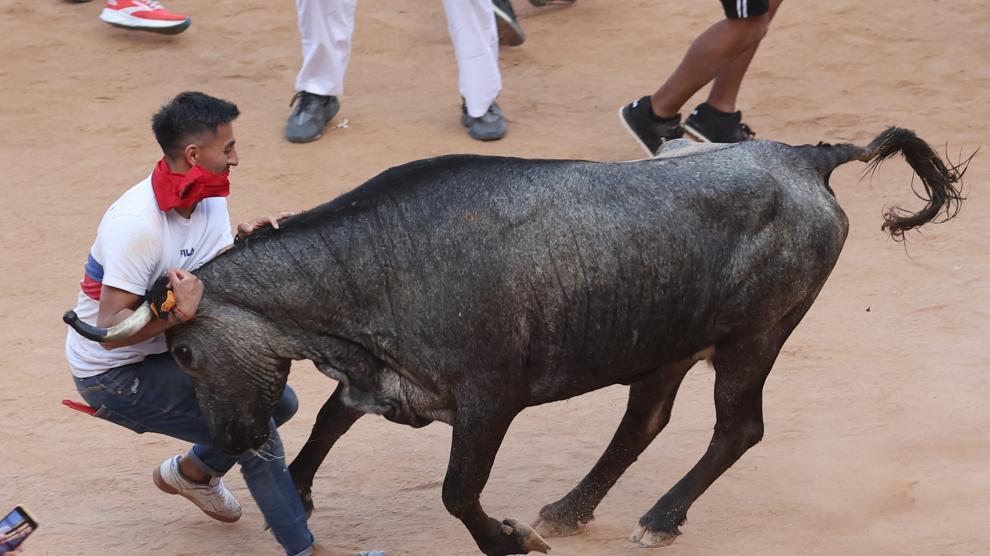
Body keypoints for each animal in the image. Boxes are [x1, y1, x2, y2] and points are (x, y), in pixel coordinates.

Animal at [66, 127, 964, 556]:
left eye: (184, 352)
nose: (231, 439)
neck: (373, 268)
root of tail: (807, 157)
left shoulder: (489, 402)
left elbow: (458, 492)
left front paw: (507, 541)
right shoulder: (381, 383)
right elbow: (323, 426)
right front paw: (306, 493)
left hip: (755, 338)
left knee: (737, 428)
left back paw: (658, 519)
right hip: (665, 344)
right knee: (644, 422)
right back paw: (569, 508)